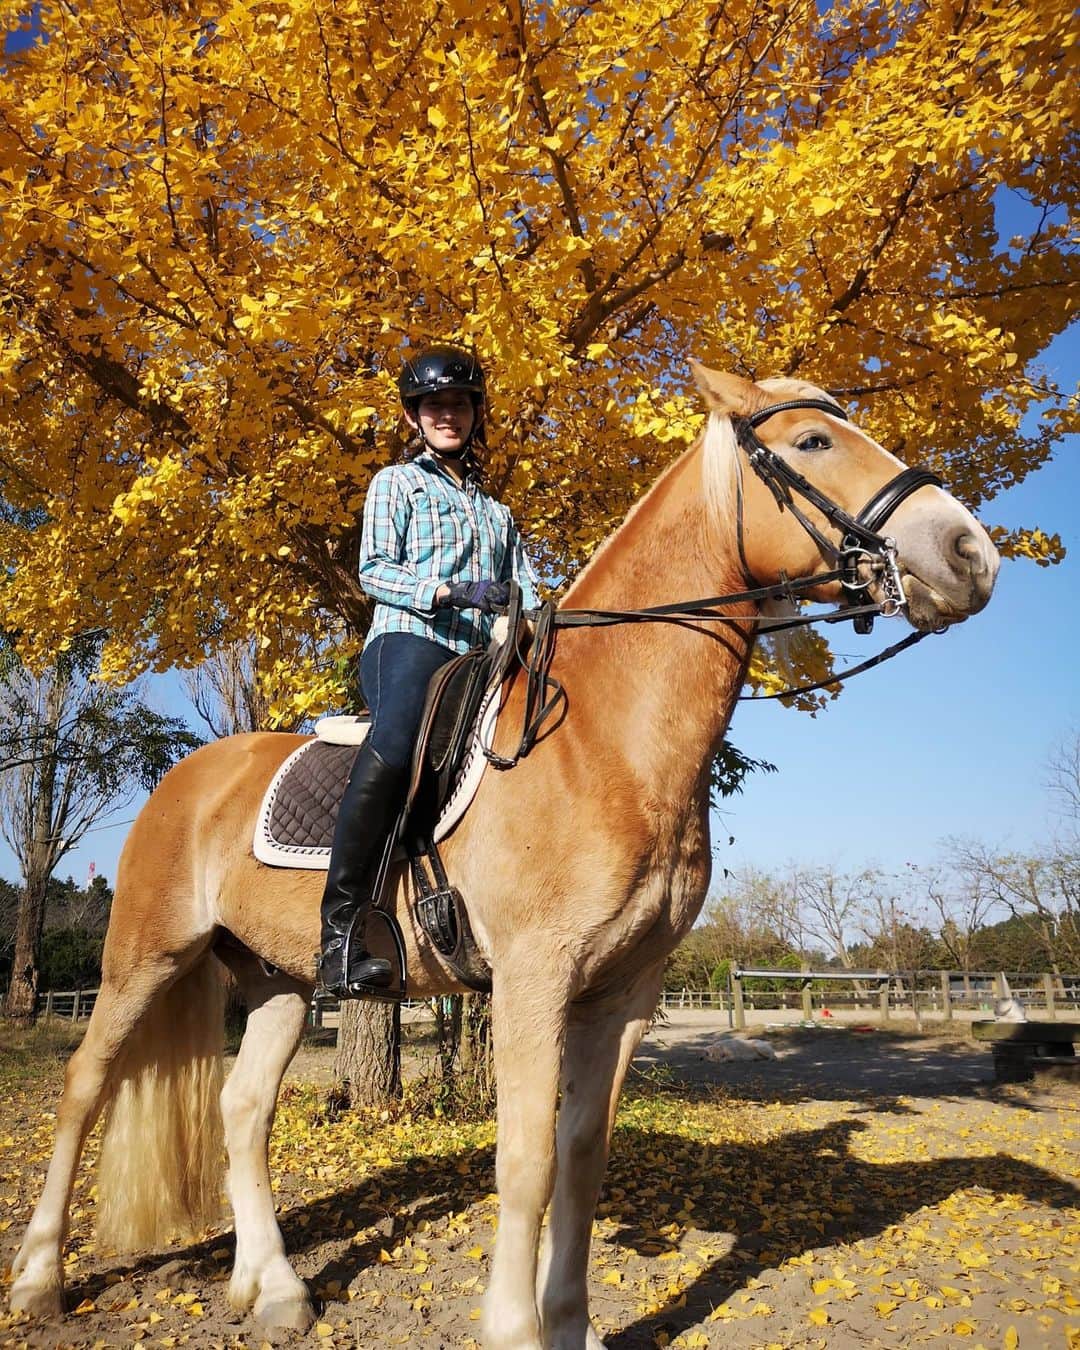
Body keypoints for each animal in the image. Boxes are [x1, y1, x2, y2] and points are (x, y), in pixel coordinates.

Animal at [10, 364, 999, 1350]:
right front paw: (518, 1329)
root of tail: (187, 776)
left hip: (282, 980)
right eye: (813, 443)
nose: (970, 554)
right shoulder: (535, 976)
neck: (602, 737)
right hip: (145, 957)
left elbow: (581, 1156)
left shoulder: (623, 992)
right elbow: (524, 1159)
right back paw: (38, 1281)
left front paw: (570, 1324)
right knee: (84, 1086)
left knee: (243, 1109)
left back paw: (275, 1288)